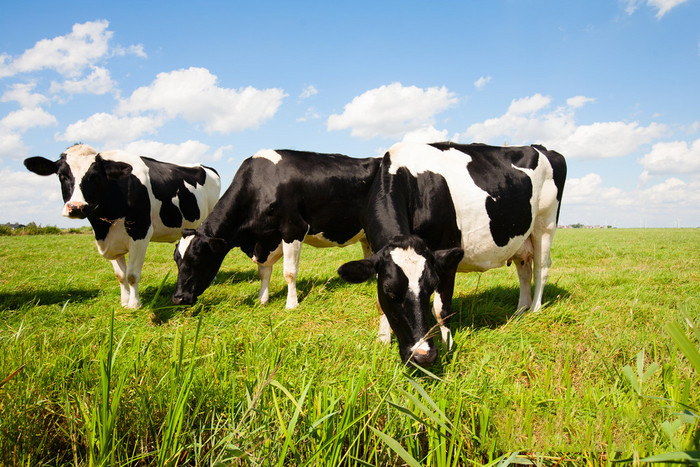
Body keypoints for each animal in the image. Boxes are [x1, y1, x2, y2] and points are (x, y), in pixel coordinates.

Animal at [23, 144, 221, 308]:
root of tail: (204, 166)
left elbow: (132, 274)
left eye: (95, 176)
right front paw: (124, 301)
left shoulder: (140, 232)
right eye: (62, 175)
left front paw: (134, 304)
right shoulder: (109, 239)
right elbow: (120, 275)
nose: (77, 207)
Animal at [172, 150, 380, 310]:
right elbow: (263, 272)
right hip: (365, 233)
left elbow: (289, 272)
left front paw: (292, 304)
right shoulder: (264, 239)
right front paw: (262, 299)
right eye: (176, 260)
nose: (178, 298)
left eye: (197, 259)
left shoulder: (293, 229)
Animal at [336, 142, 568, 366]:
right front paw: (383, 340)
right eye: (390, 291)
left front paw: (448, 346)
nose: (423, 356)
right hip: (521, 239)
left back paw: (534, 310)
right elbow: (379, 302)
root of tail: (541, 148)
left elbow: (441, 309)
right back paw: (520, 311)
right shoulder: (376, 257)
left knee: (541, 269)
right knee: (524, 272)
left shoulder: (446, 253)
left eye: (430, 287)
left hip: (545, 224)